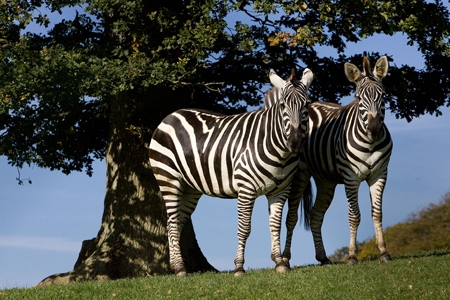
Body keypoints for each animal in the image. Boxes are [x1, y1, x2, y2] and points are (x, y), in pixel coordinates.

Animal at [149, 68, 314, 276]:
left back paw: (176, 266)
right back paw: (179, 268)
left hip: (190, 188)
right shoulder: (246, 189)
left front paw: (279, 262)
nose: (295, 142)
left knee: (176, 223)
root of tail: (171, 115)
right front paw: (239, 267)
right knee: (171, 223)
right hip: (169, 179)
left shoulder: (280, 190)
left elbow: (275, 226)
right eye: (283, 105)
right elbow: (244, 228)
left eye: (306, 105)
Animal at [268, 55, 390, 264]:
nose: (374, 129)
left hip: (325, 180)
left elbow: (377, 214)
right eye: (358, 98)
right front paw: (351, 256)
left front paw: (383, 252)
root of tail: (314, 104)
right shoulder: (351, 178)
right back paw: (286, 257)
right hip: (300, 175)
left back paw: (323, 257)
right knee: (291, 218)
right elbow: (354, 216)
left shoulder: (379, 174)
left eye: (382, 96)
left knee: (316, 215)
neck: (370, 144)